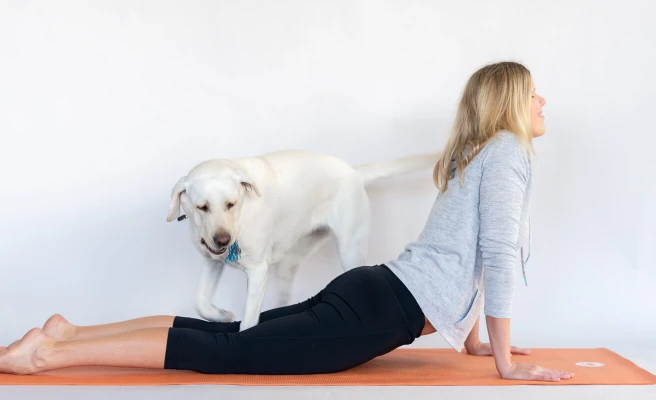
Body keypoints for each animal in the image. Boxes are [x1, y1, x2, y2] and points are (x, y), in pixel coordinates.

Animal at [167, 150, 438, 332]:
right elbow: (201, 302)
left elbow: (249, 318)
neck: (240, 218)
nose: (223, 239)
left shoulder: (257, 271)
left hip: (350, 251)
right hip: (292, 259)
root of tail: (353, 171)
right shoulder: (211, 261)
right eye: (202, 207)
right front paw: (221, 315)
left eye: (230, 204)